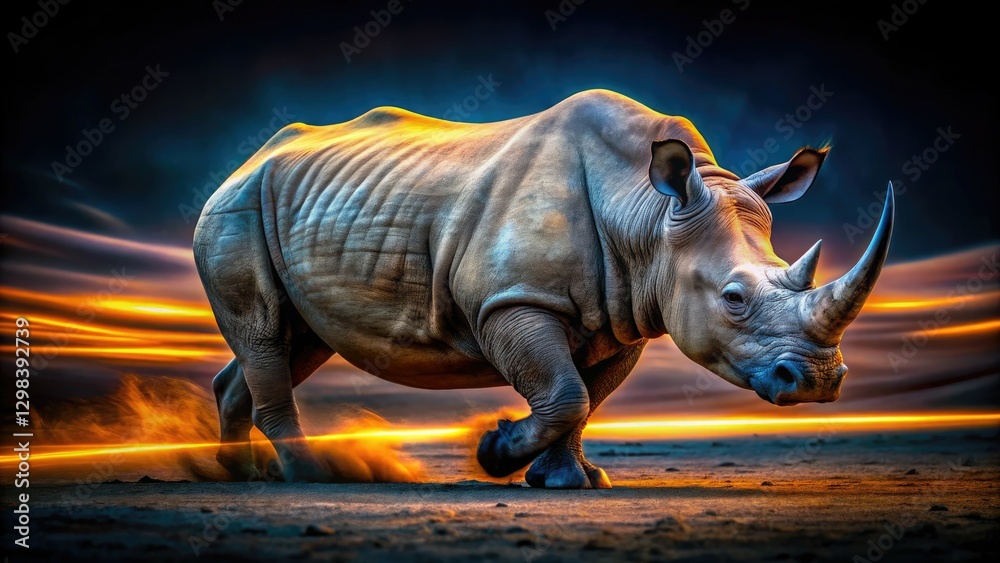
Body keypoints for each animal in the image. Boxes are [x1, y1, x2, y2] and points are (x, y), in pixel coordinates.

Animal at [194, 89, 893, 488]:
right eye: (734, 298)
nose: (819, 382)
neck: (646, 213)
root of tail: (245, 161)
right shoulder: (512, 300)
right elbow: (564, 392)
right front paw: (495, 452)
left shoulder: (624, 316)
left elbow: (586, 399)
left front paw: (572, 480)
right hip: (236, 207)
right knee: (265, 331)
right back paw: (308, 474)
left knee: (296, 340)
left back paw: (238, 474)